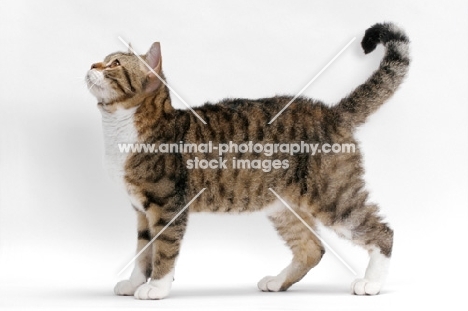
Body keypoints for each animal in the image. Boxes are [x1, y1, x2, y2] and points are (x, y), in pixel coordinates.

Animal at [86, 22, 408, 300]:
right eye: (104, 60)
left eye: (115, 64)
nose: (91, 65)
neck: (122, 129)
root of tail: (331, 112)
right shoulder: (141, 211)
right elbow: (143, 251)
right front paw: (134, 283)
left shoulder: (167, 206)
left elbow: (163, 250)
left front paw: (157, 287)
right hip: (283, 206)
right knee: (311, 248)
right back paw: (278, 282)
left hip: (333, 195)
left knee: (383, 232)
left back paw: (371, 283)